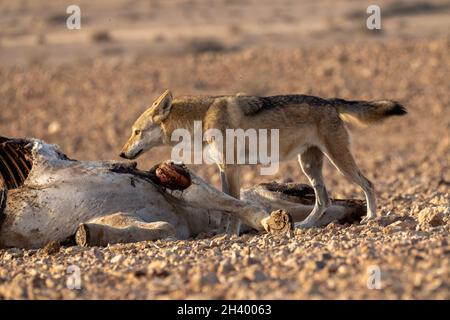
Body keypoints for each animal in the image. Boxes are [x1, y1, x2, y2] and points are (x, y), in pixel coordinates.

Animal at [120, 90, 408, 232]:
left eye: (136, 131)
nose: (121, 154)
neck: (200, 120)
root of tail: (329, 101)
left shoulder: (231, 168)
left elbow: (233, 204)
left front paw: (230, 234)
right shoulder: (223, 168)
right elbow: (227, 203)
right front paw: (223, 231)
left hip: (339, 162)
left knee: (368, 184)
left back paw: (371, 217)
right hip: (310, 167)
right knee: (324, 201)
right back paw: (304, 225)